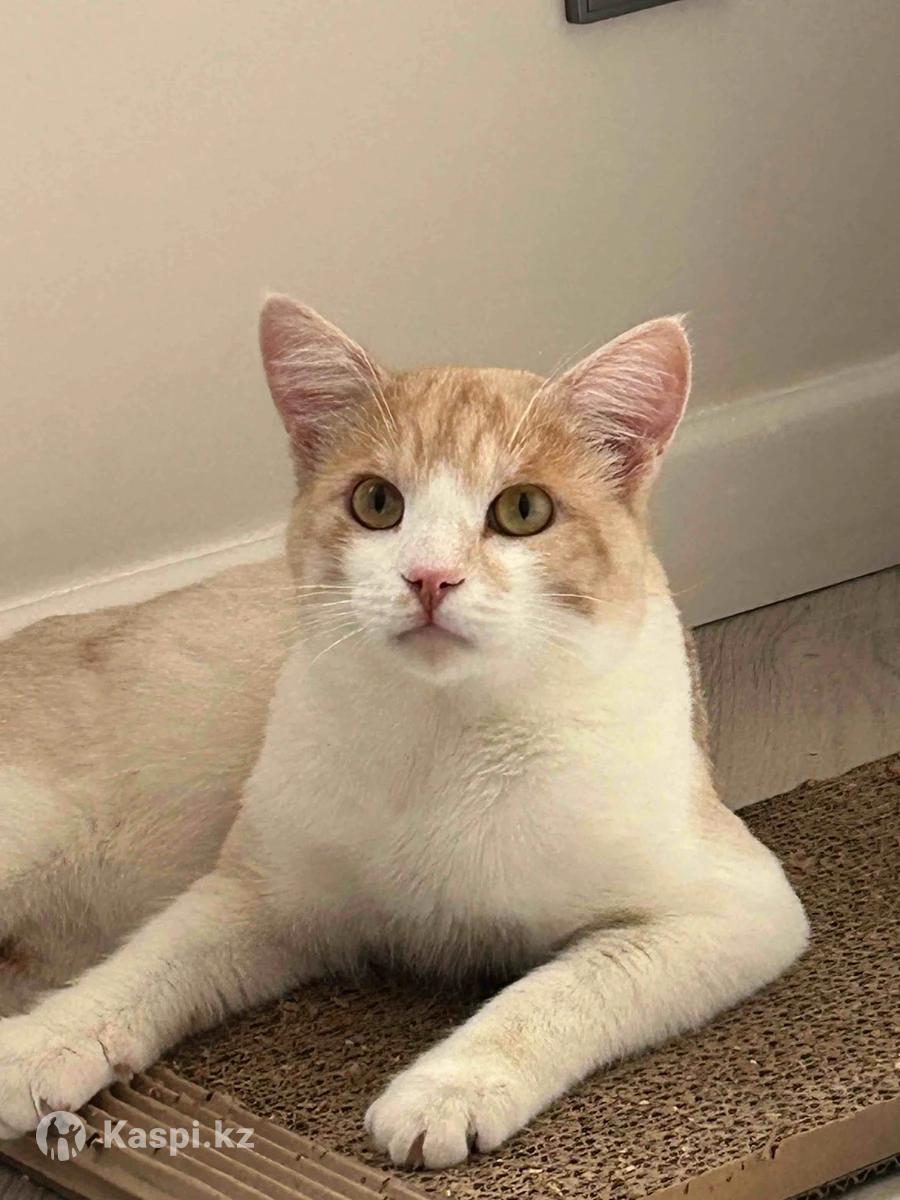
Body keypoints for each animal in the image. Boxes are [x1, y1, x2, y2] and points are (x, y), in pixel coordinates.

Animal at [0, 295, 808, 1169]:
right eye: (377, 503)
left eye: (524, 510)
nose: (429, 578)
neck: (447, 735)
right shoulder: (255, 893)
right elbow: (147, 965)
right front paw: (43, 1043)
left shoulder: (734, 910)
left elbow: (562, 987)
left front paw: (448, 1091)